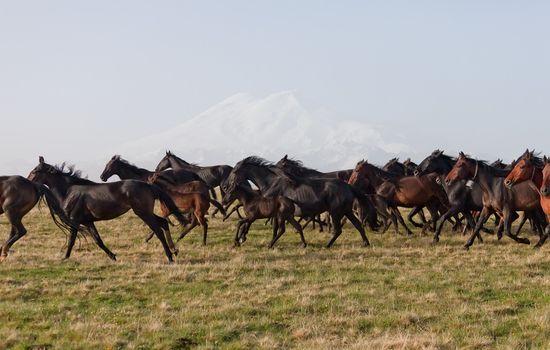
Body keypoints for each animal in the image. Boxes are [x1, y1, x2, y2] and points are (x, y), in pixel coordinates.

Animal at [28, 157, 190, 262]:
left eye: (35, 171)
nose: (27, 182)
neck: (69, 191)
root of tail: (149, 185)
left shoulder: (75, 221)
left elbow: (72, 241)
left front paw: (65, 257)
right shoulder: (88, 222)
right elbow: (98, 240)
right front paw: (113, 256)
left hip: (143, 213)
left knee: (158, 230)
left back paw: (169, 256)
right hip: (145, 212)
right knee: (163, 223)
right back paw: (174, 250)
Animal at [225, 156, 380, 249]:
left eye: (234, 171)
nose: (225, 186)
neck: (271, 183)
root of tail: (349, 186)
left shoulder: (272, 212)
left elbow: (252, 223)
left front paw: (240, 239)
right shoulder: (276, 213)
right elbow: (273, 228)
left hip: (336, 212)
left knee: (338, 230)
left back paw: (327, 245)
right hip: (346, 211)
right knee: (358, 225)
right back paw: (365, 243)